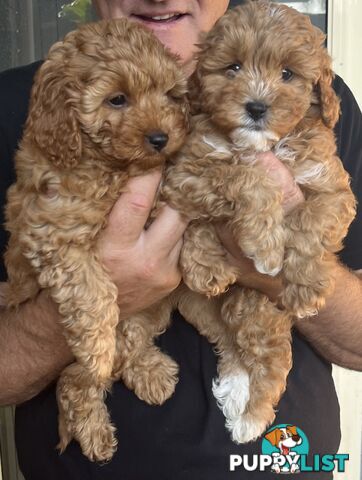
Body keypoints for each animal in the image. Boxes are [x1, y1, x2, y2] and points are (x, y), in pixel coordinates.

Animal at [4, 19, 189, 462]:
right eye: (117, 99)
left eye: (169, 95)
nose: (161, 138)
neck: (108, 164)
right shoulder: (54, 234)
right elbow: (94, 292)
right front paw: (97, 346)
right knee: (77, 381)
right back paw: (94, 424)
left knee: (130, 340)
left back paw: (149, 370)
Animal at [116, 0, 356, 446]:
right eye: (233, 68)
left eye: (288, 74)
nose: (256, 108)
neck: (263, 145)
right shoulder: (187, 172)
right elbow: (245, 175)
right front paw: (260, 245)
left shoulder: (332, 187)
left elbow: (312, 224)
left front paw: (306, 285)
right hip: (225, 307)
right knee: (237, 344)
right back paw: (242, 404)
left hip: (257, 304)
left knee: (268, 357)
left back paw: (250, 415)